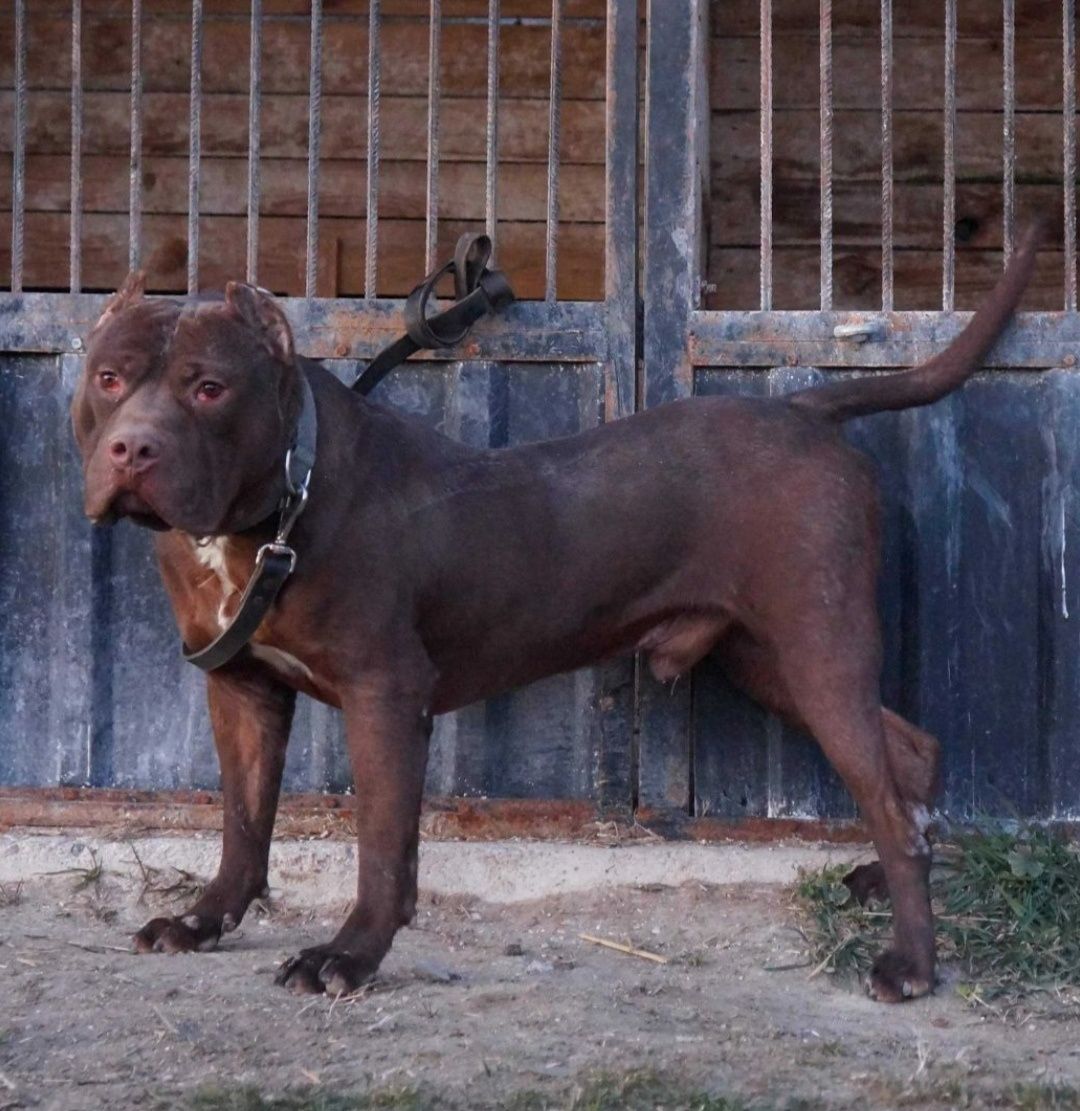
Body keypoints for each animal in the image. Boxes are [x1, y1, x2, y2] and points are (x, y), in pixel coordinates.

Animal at [71, 225, 1040, 999]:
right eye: (109, 377)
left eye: (209, 388)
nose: (132, 449)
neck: (274, 502)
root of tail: (804, 406)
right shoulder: (241, 689)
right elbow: (242, 826)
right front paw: (203, 922)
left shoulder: (387, 695)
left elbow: (382, 848)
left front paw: (347, 956)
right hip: (771, 660)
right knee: (908, 757)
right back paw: (887, 880)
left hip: (818, 645)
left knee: (887, 796)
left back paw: (911, 962)